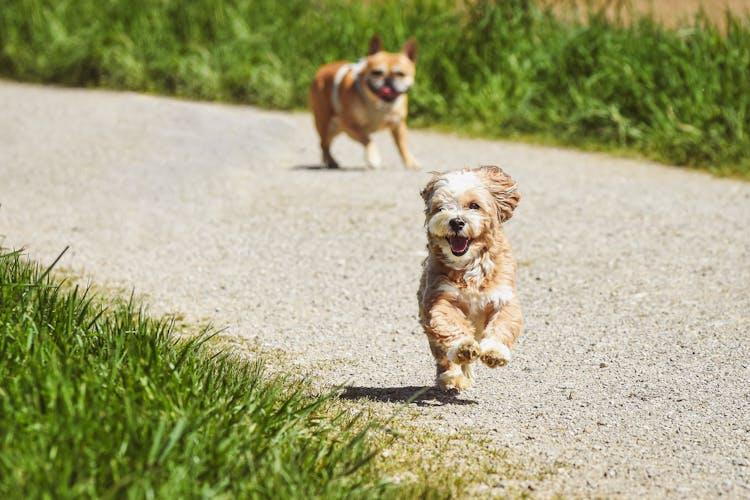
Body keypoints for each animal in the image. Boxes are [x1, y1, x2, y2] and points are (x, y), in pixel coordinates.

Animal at [308, 35, 420, 170]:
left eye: (400, 74)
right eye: (377, 72)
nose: (387, 80)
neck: (379, 104)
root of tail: (322, 69)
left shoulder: (399, 125)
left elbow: (402, 145)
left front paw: (410, 162)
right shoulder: (350, 126)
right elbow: (368, 140)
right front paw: (373, 158)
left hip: (335, 128)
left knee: (325, 143)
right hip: (325, 123)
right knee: (324, 143)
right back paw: (330, 161)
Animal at [418, 165, 524, 390]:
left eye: (474, 205)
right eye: (441, 207)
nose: (456, 221)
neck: (469, 265)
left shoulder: (504, 298)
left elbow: (503, 324)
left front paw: (495, 351)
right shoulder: (439, 298)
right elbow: (450, 324)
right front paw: (463, 348)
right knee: (443, 354)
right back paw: (452, 375)